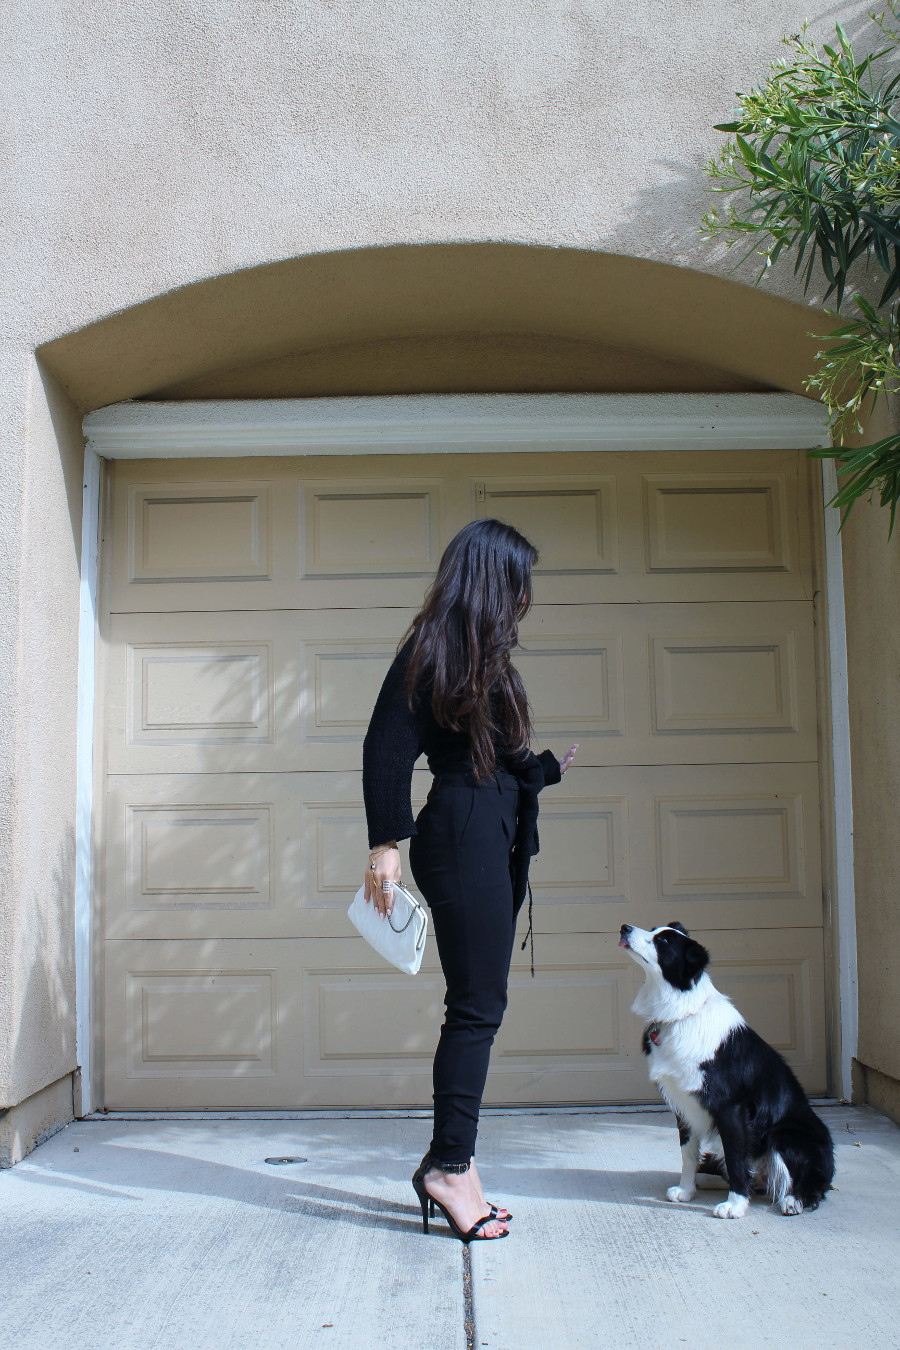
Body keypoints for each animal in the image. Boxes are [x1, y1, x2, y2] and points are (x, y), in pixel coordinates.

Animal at [620, 923, 836, 1220]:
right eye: (653, 930)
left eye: (663, 941)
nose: (624, 927)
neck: (681, 1009)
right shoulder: (684, 1104)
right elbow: (688, 1154)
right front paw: (686, 1190)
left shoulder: (730, 1106)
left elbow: (736, 1158)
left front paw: (735, 1205)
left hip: (787, 1134)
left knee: (811, 1183)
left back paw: (794, 1200)